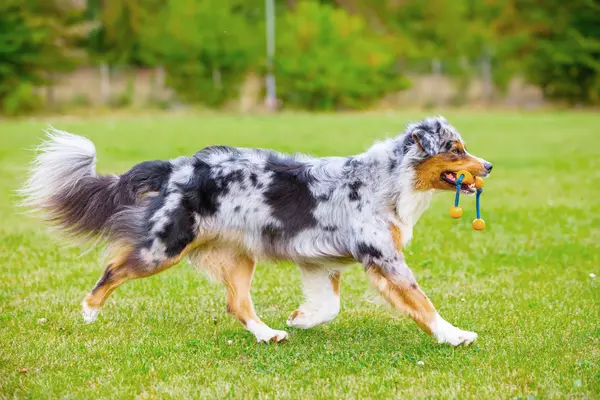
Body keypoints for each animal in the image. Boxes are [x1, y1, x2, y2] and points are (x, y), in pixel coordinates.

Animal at [22, 115, 492, 344]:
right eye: (455, 149)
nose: (488, 165)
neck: (389, 180)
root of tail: (176, 167)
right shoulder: (384, 258)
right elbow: (423, 303)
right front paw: (454, 335)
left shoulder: (320, 259)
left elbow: (328, 306)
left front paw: (301, 319)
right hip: (164, 247)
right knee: (113, 269)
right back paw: (88, 311)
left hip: (238, 256)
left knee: (237, 304)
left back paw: (269, 334)